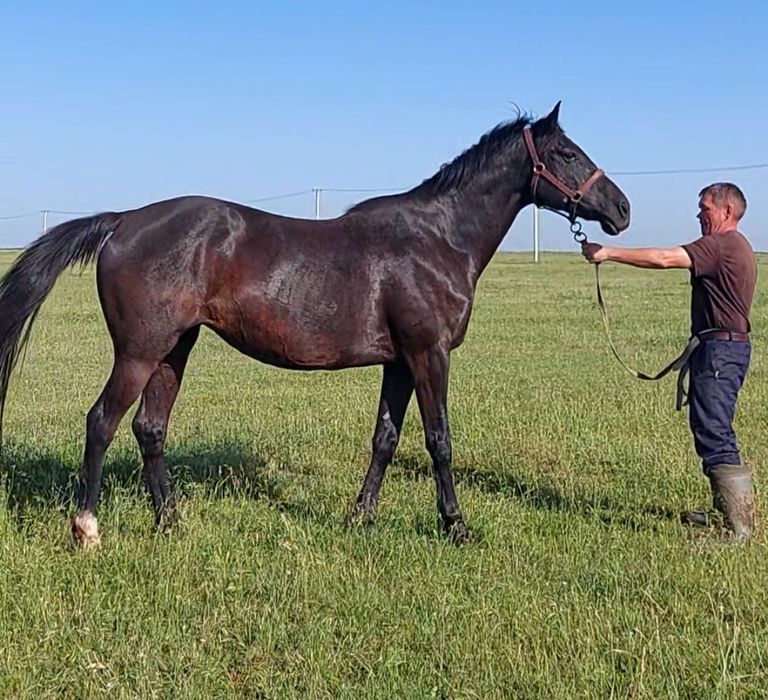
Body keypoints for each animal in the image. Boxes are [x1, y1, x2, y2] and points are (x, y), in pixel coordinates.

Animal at [0, 102, 629, 548]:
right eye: (567, 153)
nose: (622, 210)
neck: (437, 238)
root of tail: (124, 219)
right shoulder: (430, 354)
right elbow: (439, 440)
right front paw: (456, 526)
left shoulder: (400, 362)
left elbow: (385, 439)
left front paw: (361, 517)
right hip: (138, 352)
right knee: (102, 422)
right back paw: (87, 529)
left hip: (174, 349)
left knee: (149, 430)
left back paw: (171, 522)